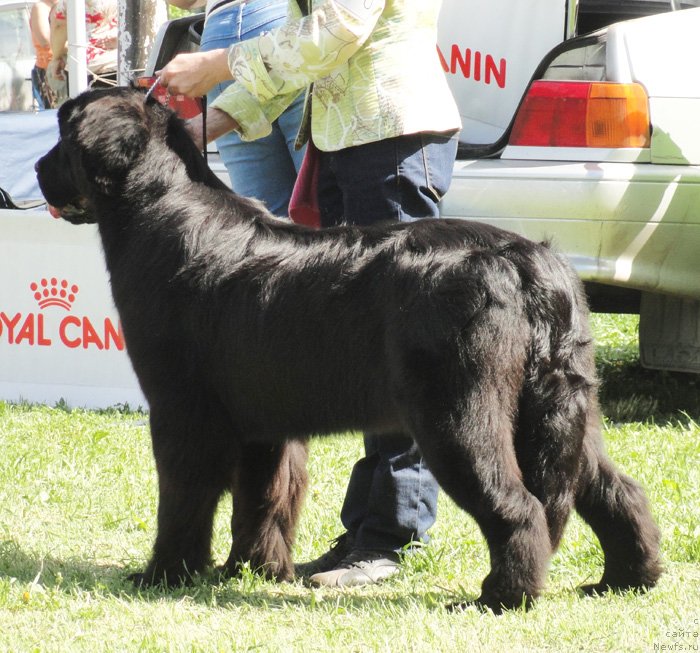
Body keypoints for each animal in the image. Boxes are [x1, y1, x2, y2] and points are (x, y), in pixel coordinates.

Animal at [35, 86, 660, 612]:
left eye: (63, 134)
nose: (37, 169)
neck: (158, 209)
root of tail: (528, 261)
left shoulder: (182, 409)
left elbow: (185, 498)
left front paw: (166, 573)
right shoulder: (263, 421)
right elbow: (264, 499)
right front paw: (255, 571)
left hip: (458, 415)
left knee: (519, 505)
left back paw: (500, 598)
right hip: (562, 405)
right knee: (614, 488)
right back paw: (625, 579)